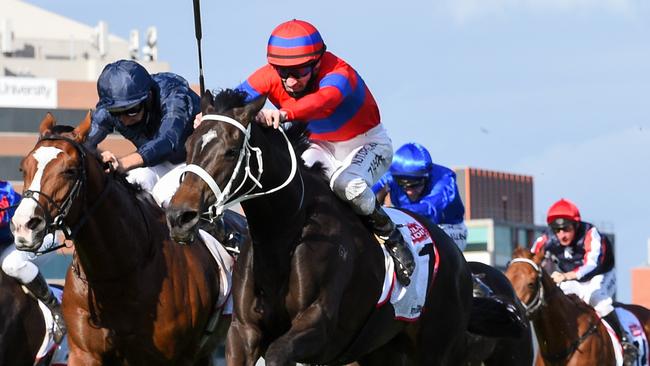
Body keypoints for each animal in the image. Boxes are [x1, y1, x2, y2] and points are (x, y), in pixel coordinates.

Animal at [10, 113, 243, 364]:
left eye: (70, 170)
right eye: (23, 168)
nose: (24, 226)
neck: (116, 275)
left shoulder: (168, 356)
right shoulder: (84, 352)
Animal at [166, 89, 520, 366]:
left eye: (229, 151)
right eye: (189, 145)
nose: (179, 215)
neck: (283, 232)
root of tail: (460, 263)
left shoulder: (317, 324)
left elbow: (279, 353)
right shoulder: (243, 332)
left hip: (437, 349)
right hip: (382, 350)